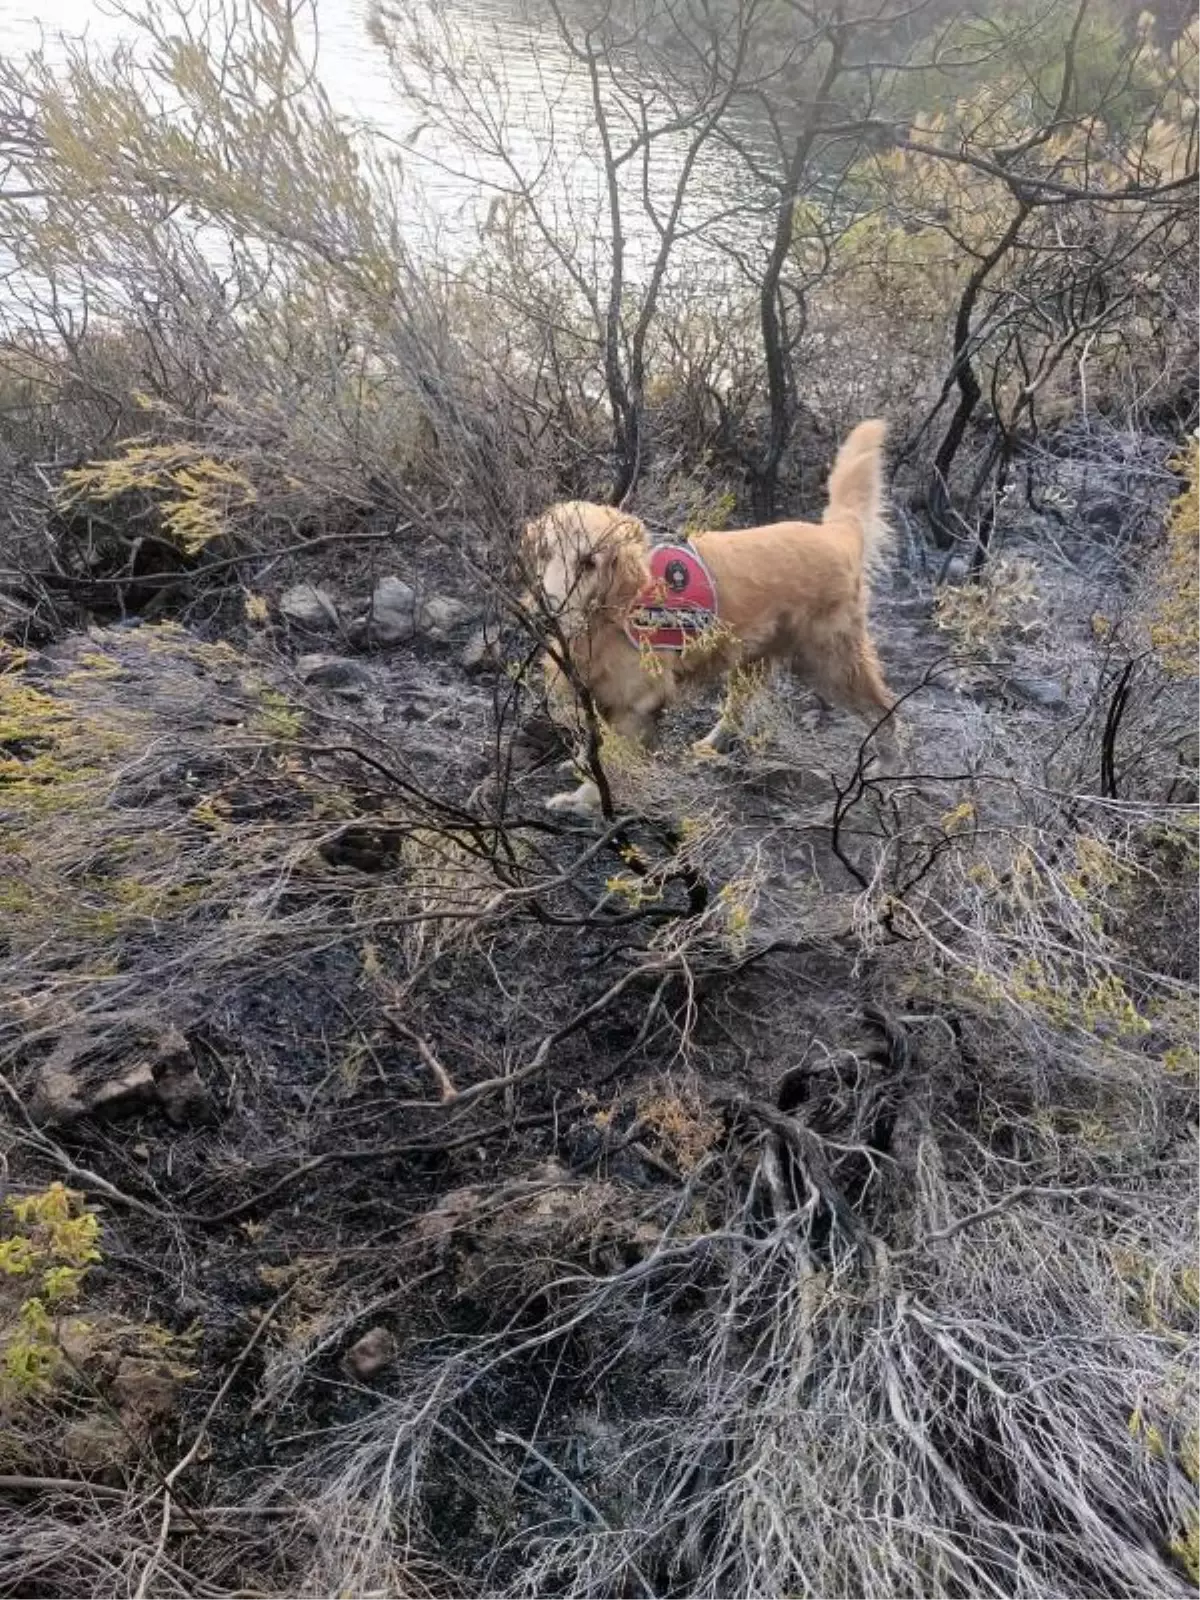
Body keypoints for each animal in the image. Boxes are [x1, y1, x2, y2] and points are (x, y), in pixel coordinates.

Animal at [524, 419, 902, 812]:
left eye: (589, 563)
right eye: (545, 553)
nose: (543, 614)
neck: (615, 609)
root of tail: (836, 534)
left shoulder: (635, 701)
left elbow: (610, 761)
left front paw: (583, 798)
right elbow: (596, 743)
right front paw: (581, 765)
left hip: (830, 662)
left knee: (885, 711)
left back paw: (887, 769)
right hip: (755, 659)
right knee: (736, 707)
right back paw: (710, 745)